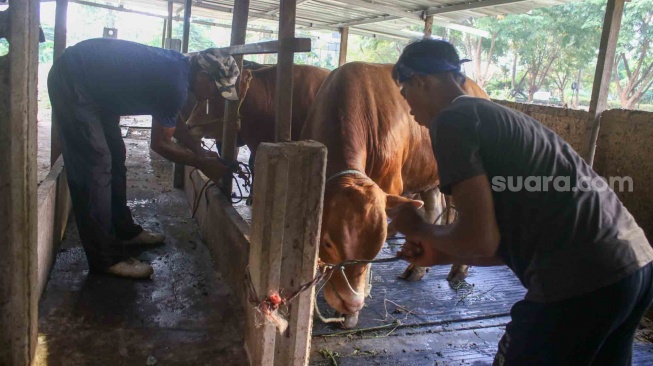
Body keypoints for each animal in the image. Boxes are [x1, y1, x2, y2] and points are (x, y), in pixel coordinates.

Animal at [300, 61, 488, 328]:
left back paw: (459, 270)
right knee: (433, 209)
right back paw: (416, 270)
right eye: (327, 242)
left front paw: (352, 311)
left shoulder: (391, 186)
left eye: (378, 246)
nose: (352, 303)